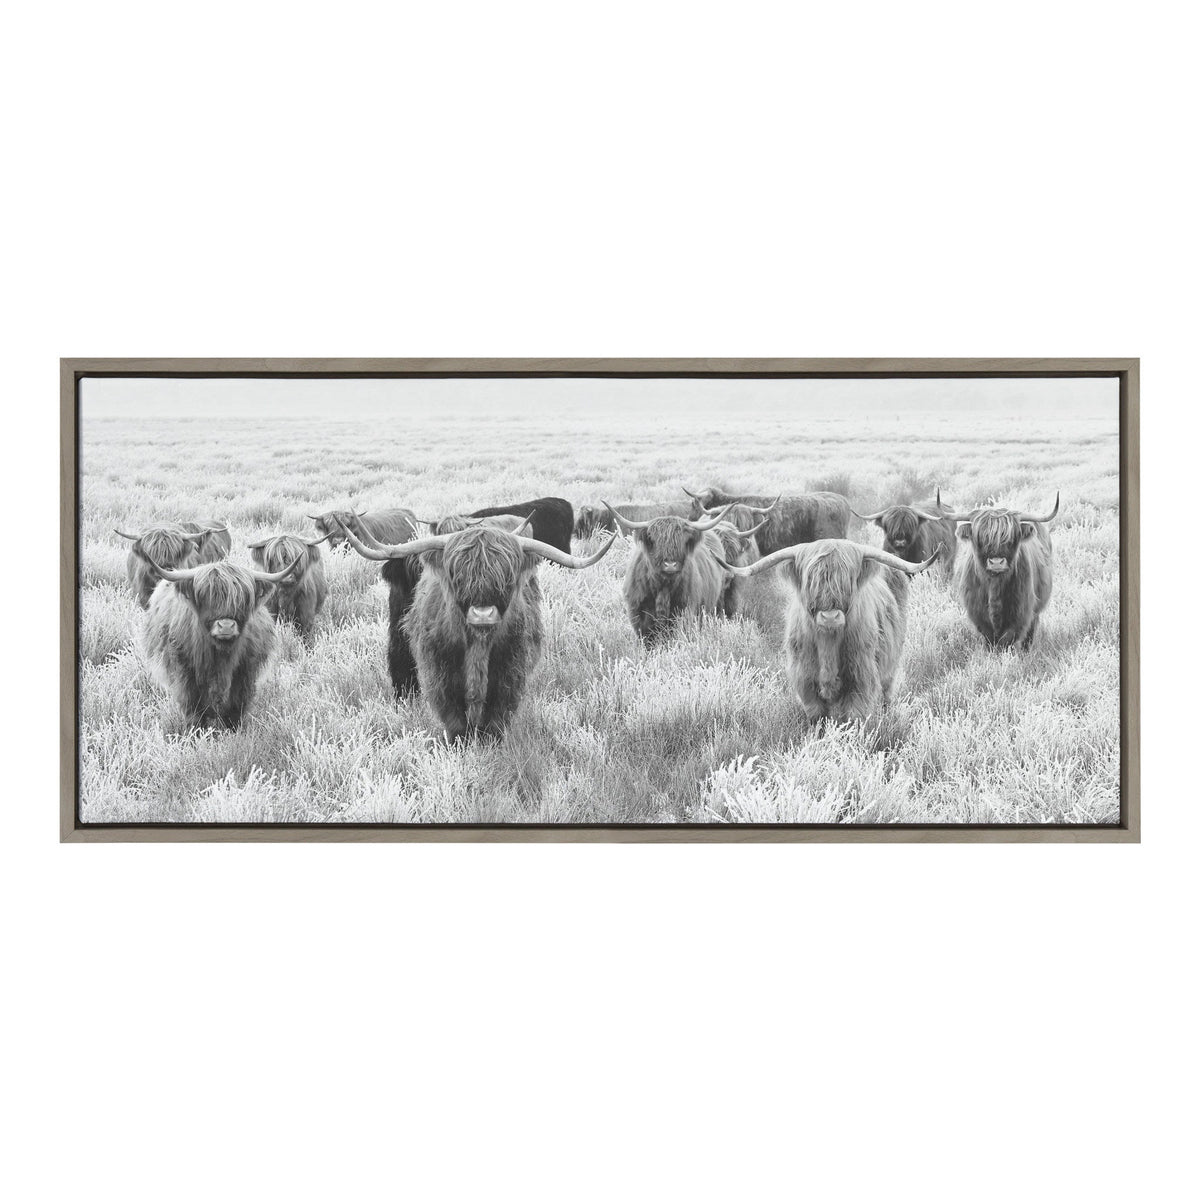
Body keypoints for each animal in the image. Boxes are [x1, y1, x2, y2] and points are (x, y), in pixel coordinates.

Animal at [140, 555, 303, 729]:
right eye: (205, 596)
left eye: (243, 599)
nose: (226, 626)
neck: (221, 656)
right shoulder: (184, 671)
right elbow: (193, 705)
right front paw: (196, 730)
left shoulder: (245, 671)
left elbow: (236, 705)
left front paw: (233, 729)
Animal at [342, 523, 616, 739]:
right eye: (457, 573)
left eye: (506, 575)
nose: (482, 614)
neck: (477, 646)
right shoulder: (440, 674)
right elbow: (455, 720)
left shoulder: (510, 675)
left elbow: (496, 719)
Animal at [603, 502, 741, 643]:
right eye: (655, 540)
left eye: (682, 541)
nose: (670, 565)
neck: (663, 587)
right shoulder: (639, 614)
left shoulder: (684, 611)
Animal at [718, 539, 940, 721]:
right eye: (810, 580)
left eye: (848, 580)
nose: (830, 617)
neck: (828, 644)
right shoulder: (805, 681)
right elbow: (818, 718)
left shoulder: (861, 679)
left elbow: (853, 719)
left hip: (890, 666)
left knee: (886, 692)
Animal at [944, 494, 1059, 649]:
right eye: (979, 538)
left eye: (1011, 538)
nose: (996, 562)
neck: (994, 585)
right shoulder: (978, 615)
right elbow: (990, 640)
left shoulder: (1021, 612)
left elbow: (1006, 640)